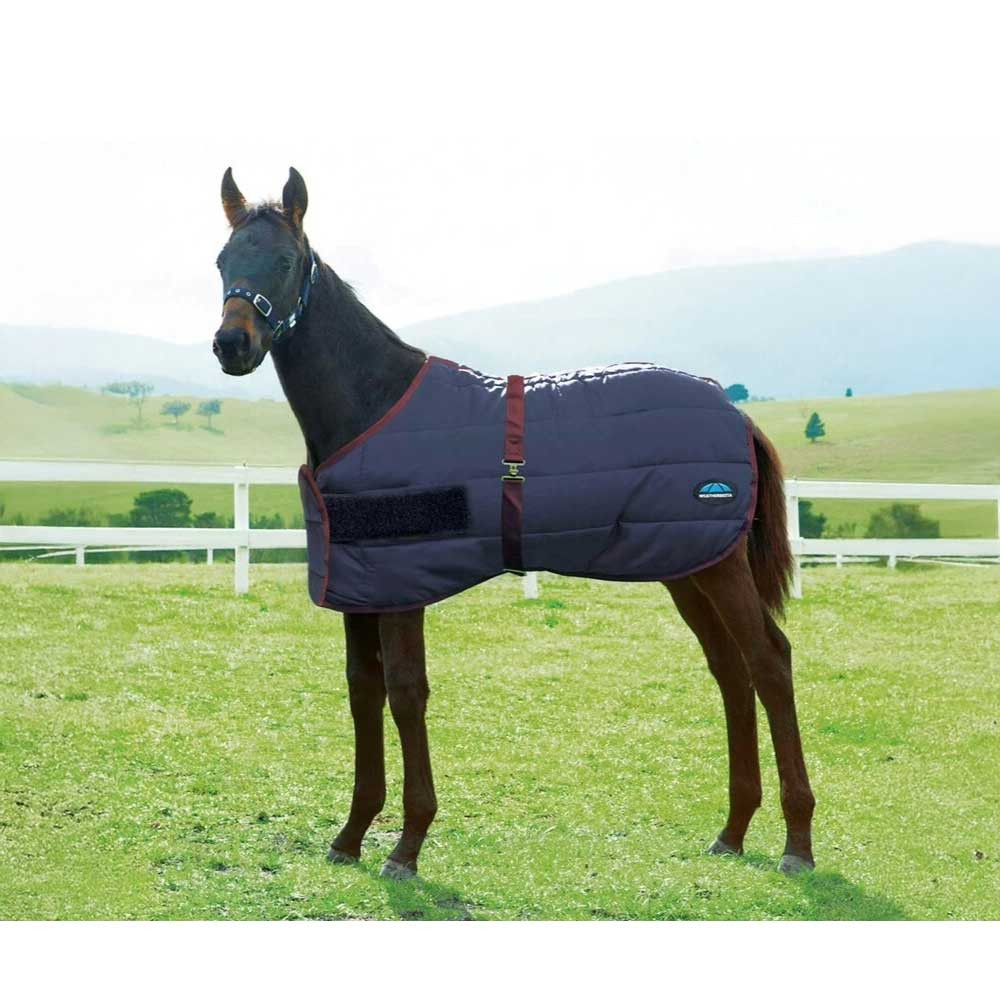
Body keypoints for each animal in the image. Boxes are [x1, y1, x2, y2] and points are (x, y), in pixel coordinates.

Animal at [211, 167, 816, 880]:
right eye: (221, 260)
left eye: (284, 261)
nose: (232, 345)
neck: (375, 404)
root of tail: (736, 413)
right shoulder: (360, 589)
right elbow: (364, 693)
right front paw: (352, 835)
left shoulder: (403, 589)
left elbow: (406, 693)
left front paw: (407, 845)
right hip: (687, 568)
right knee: (731, 671)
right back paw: (733, 830)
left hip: (718, 569)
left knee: (769, 661)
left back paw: (798, 843)